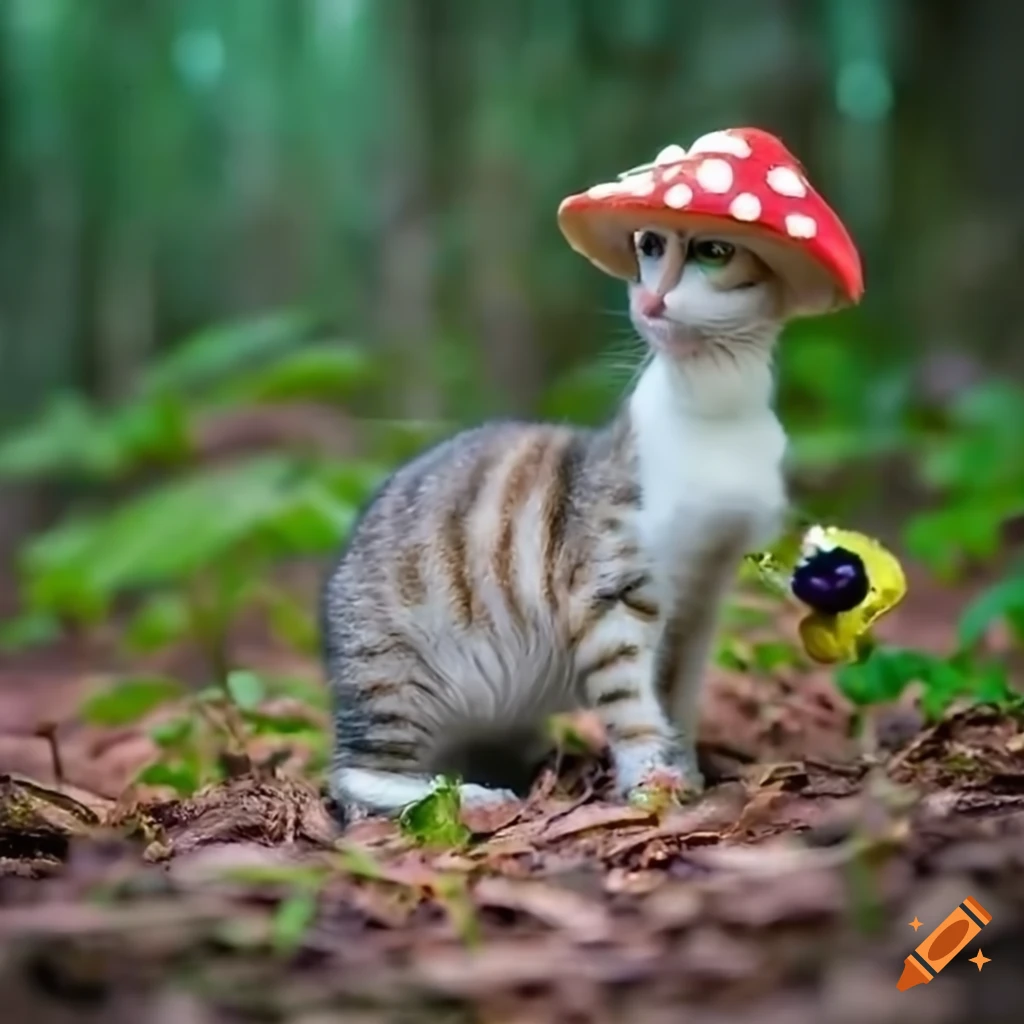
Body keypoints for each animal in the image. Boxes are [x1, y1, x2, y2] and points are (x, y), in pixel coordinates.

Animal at [323, 228, 786, 819]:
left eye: (715, 254)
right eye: (649, 252)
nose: (653, 301)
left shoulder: (702, 597)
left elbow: (676, 696)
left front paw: (685, 770)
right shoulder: (607, 587)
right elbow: (629, 699)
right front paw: (648, 780)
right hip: (395, 678)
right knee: (355, 774)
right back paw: (472, 795)